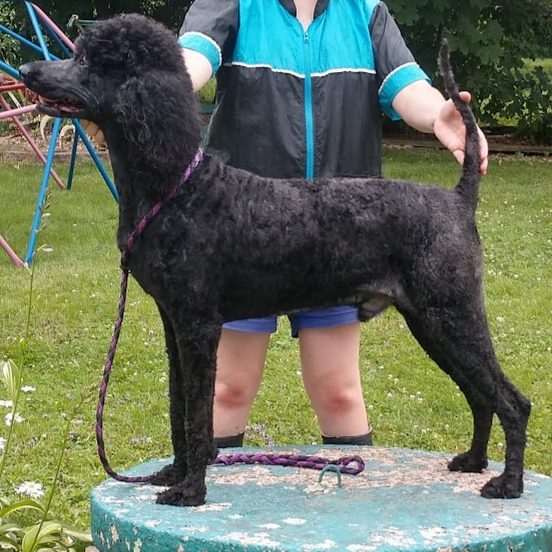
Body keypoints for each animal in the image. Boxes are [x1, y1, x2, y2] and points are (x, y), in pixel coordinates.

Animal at [20, 14, 530, 507]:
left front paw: (190, 490)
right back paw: (472, 462)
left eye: (88, 61)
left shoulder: (198, 326)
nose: (27, 70)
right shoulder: (174, 324)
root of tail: (459, 199)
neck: (178, 189)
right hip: (433, 323)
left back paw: (507, 483)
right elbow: (178, 407)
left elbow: (196, 416)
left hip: (452, 316)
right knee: (481, 397)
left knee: (511, 401)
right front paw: (174, 473)